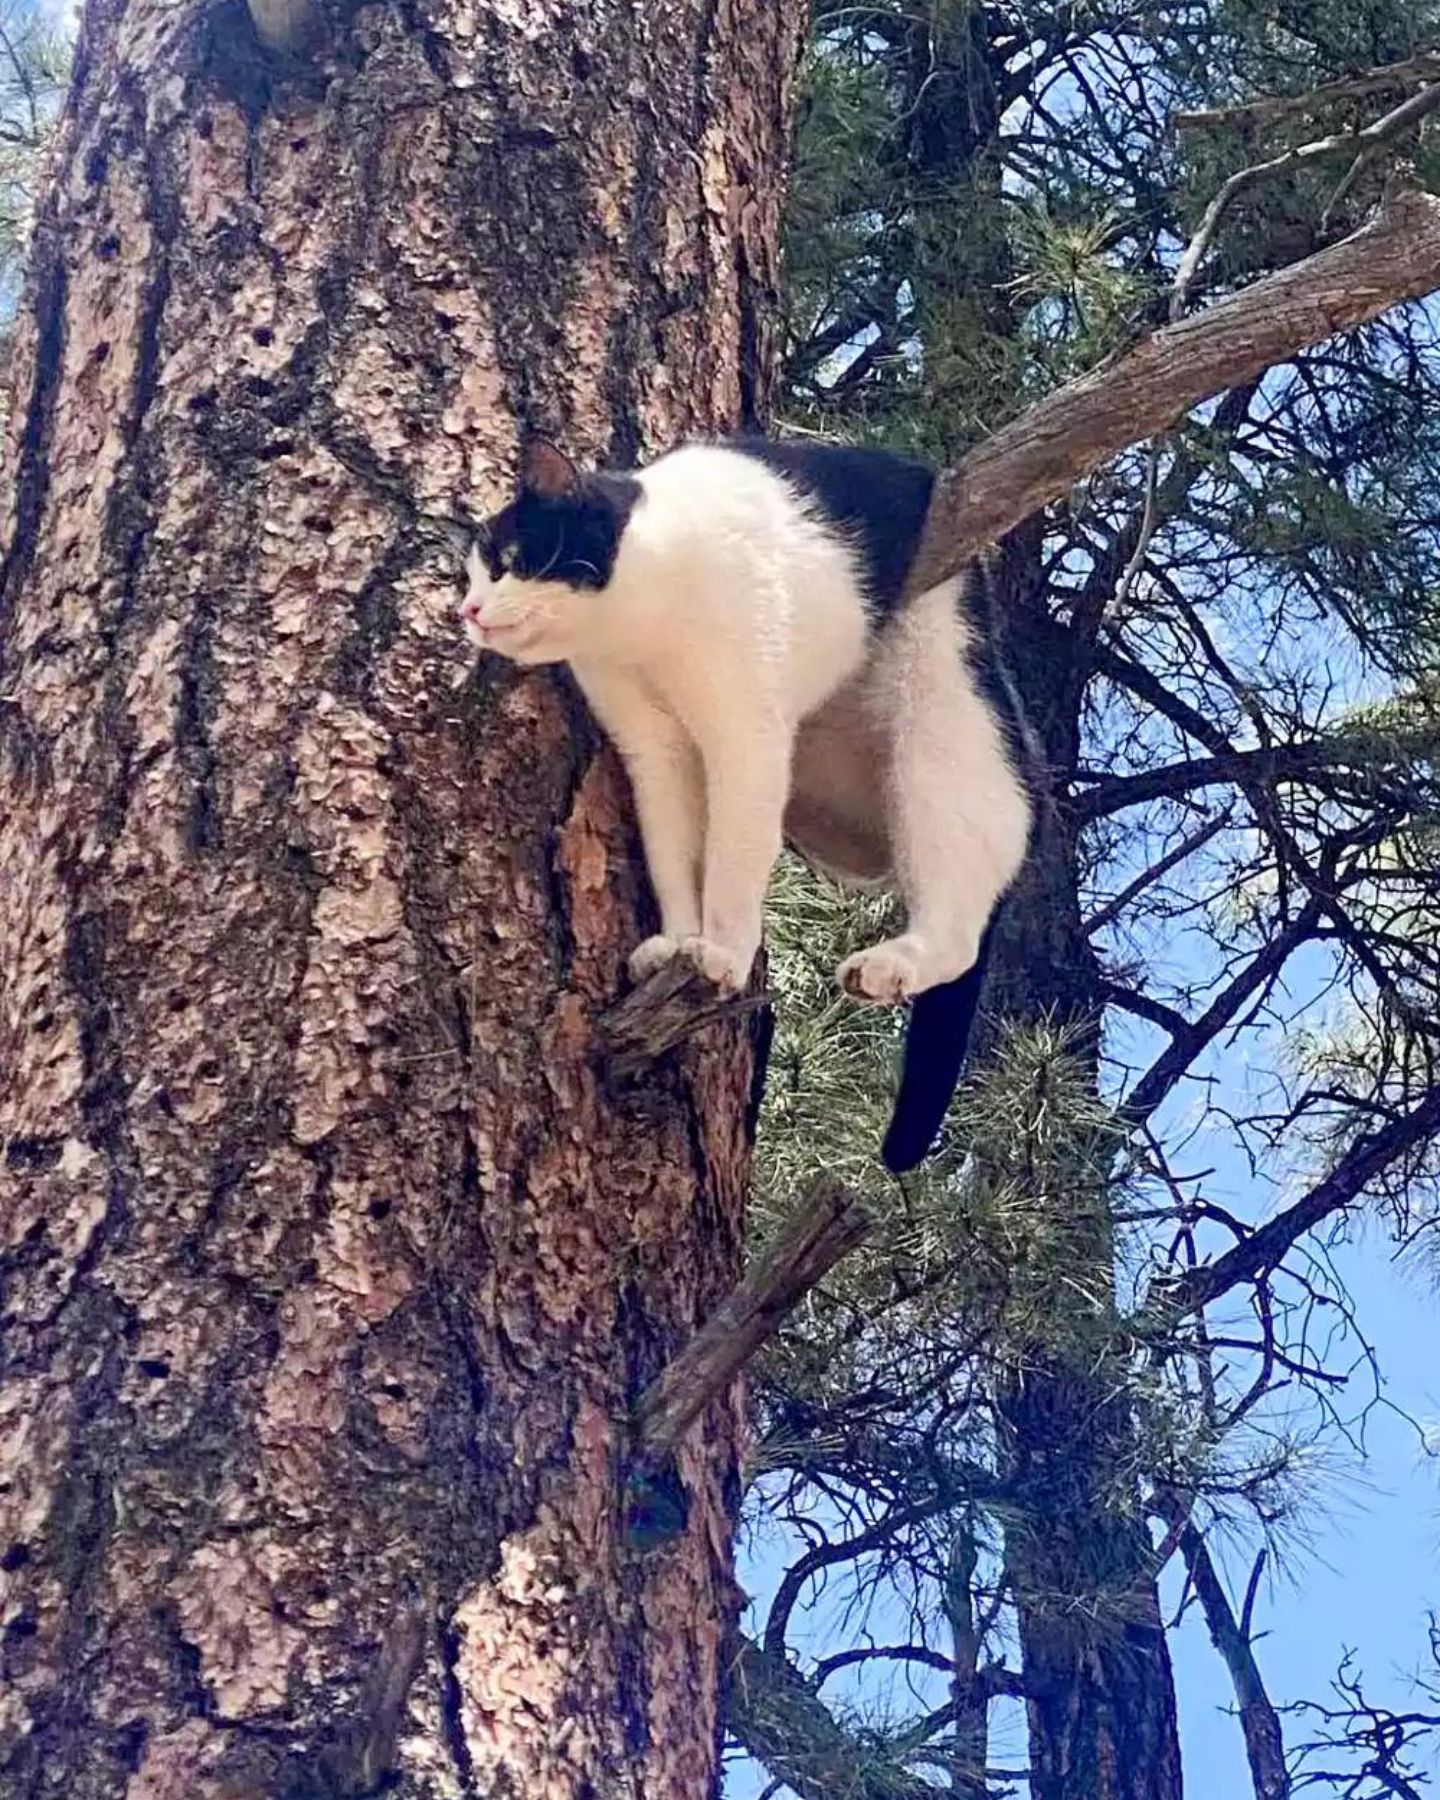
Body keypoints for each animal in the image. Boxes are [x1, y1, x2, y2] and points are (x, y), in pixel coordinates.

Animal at [460, 433, 1036, 1166]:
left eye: (508, 561)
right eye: (471, 576)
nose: (469, 613)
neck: (641, 620)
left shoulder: (746, 737)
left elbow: (733, 865)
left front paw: (725, 956)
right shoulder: (655, 752)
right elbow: (674, 856)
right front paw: (680, 942)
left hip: (941, 721)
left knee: (965, 909)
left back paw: (890, 966)